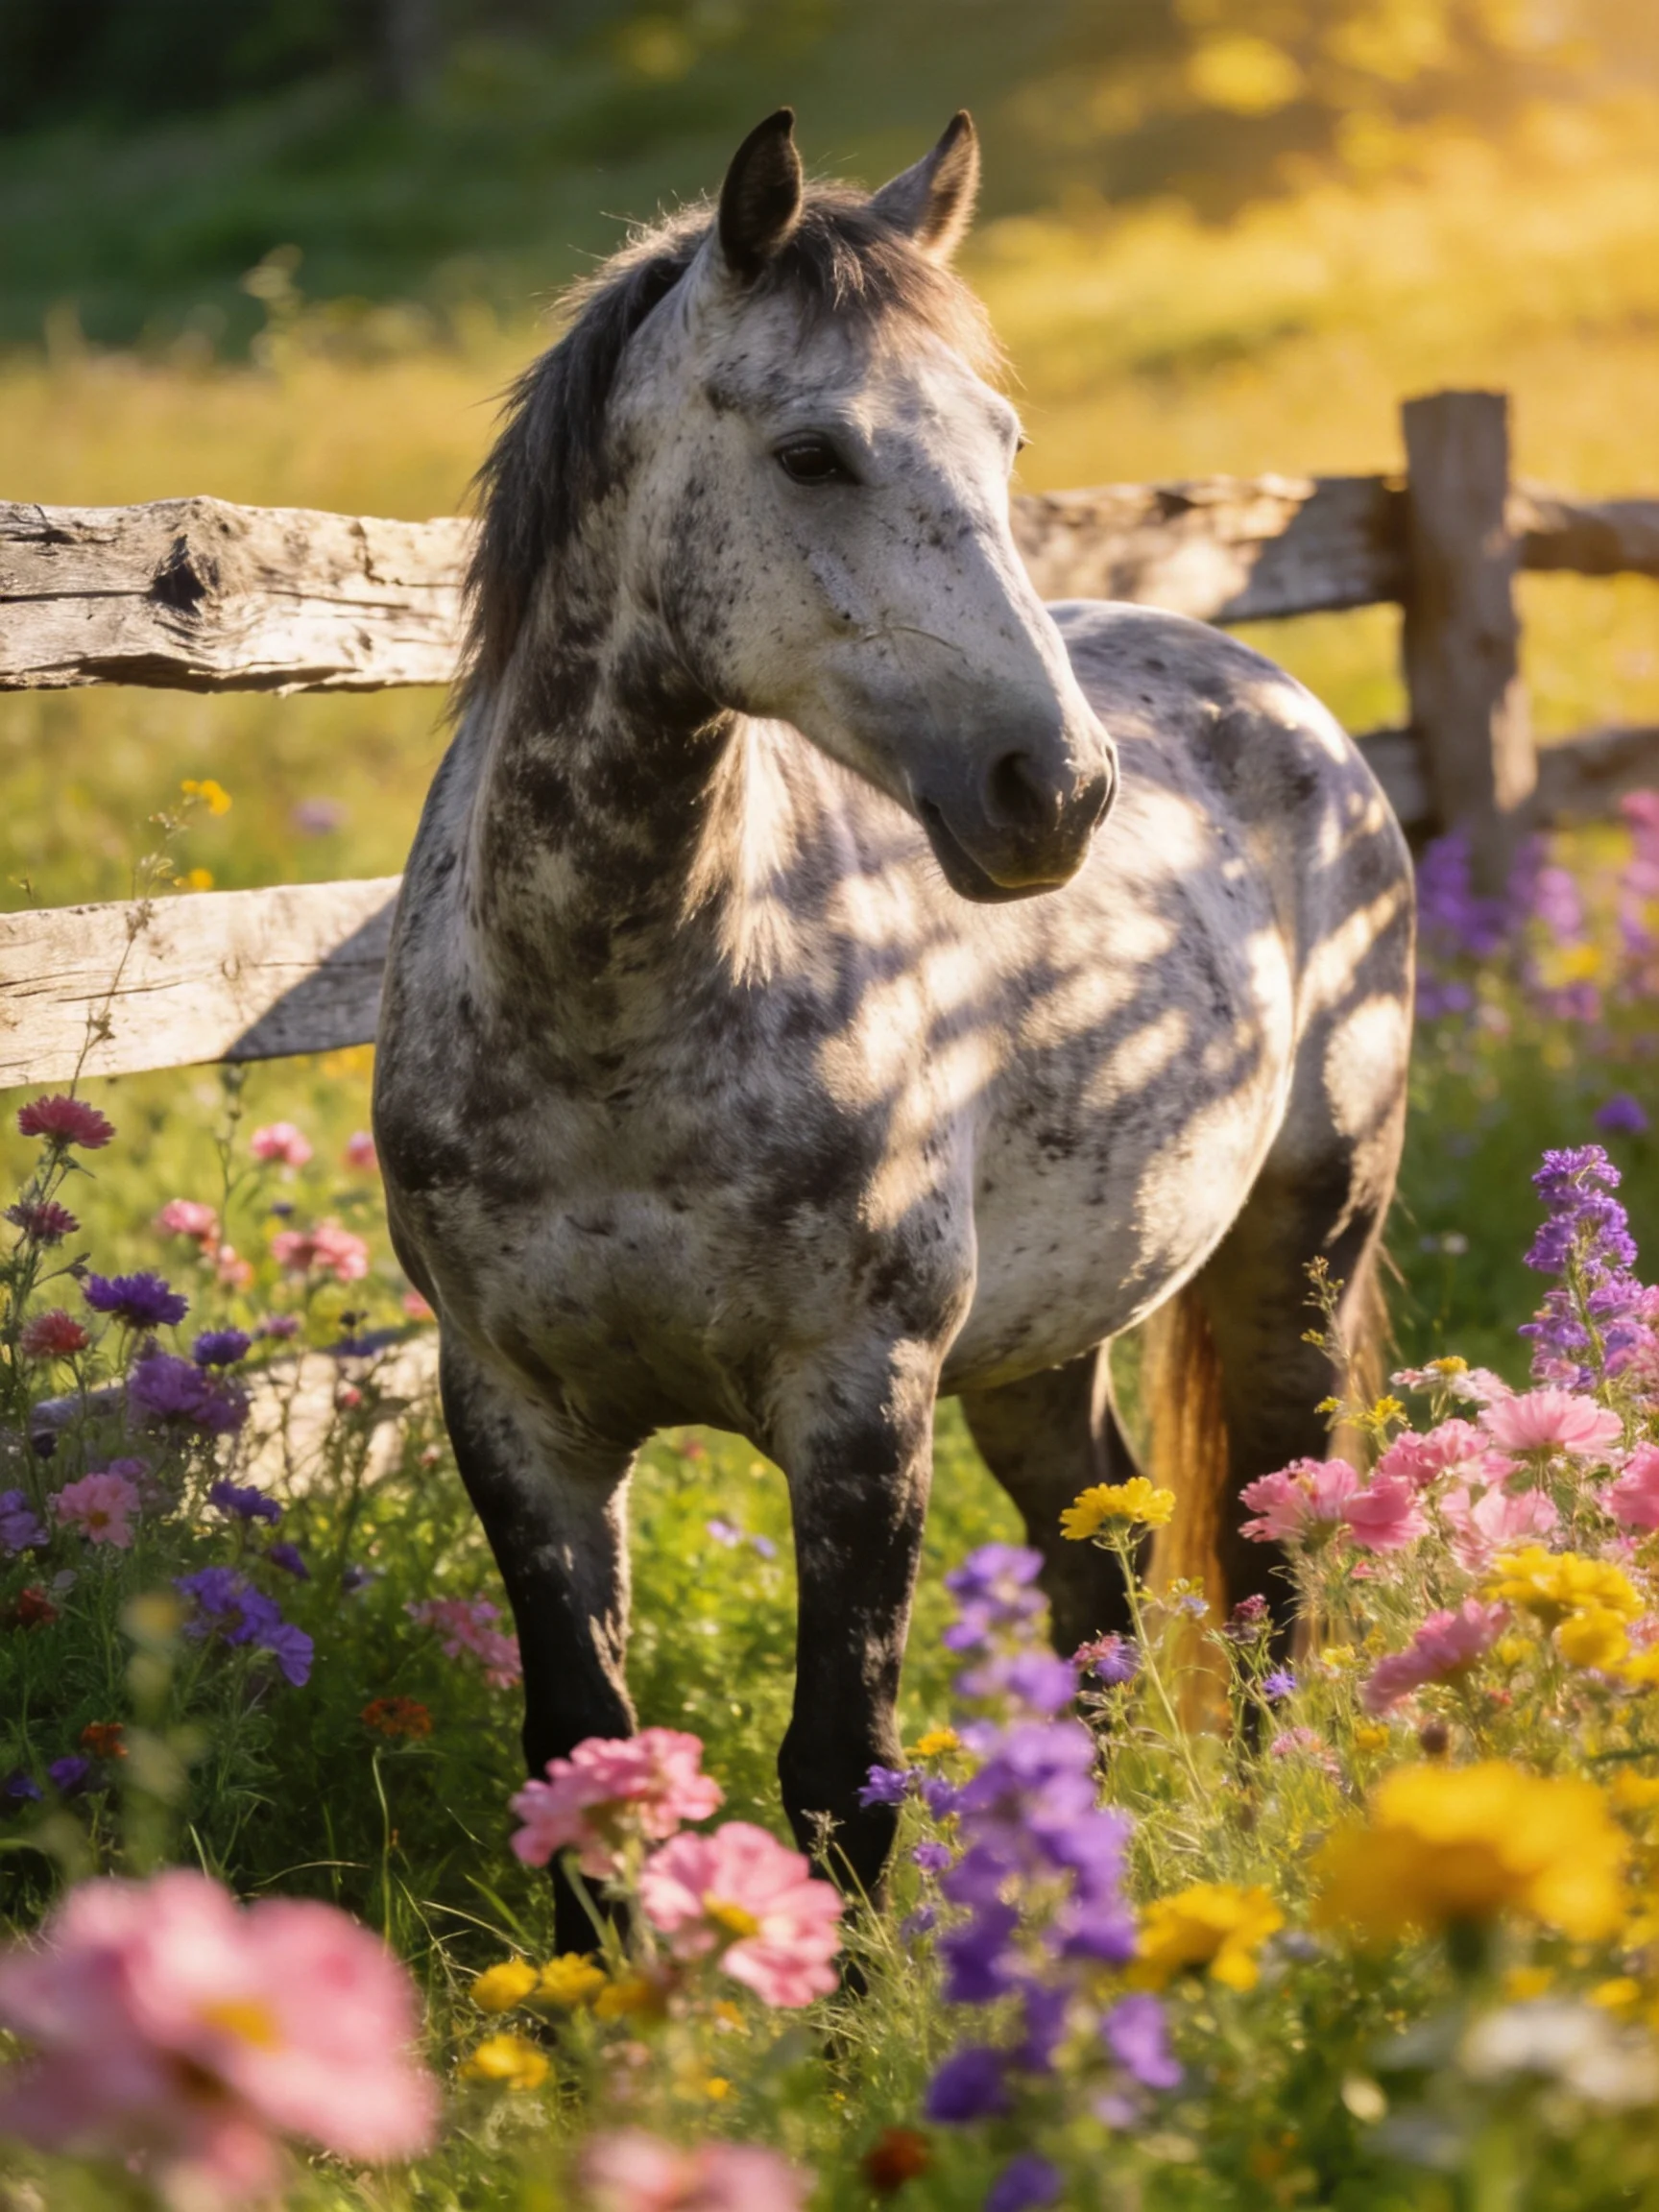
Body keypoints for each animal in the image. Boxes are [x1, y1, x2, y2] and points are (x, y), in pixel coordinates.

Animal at [373, 108, 1414, 1938]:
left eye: (1003, 442)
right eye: (811, 454)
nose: (1055, 792)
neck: (605, 1030)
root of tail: (1281, 699)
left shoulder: (858, 1403)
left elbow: (835, 1765)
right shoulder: (513, 1414)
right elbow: (573, 1747)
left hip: (1296, 1251)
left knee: (1269, 1555)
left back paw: (1266, 1818)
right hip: (1043, 1333)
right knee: (1099, 1569)